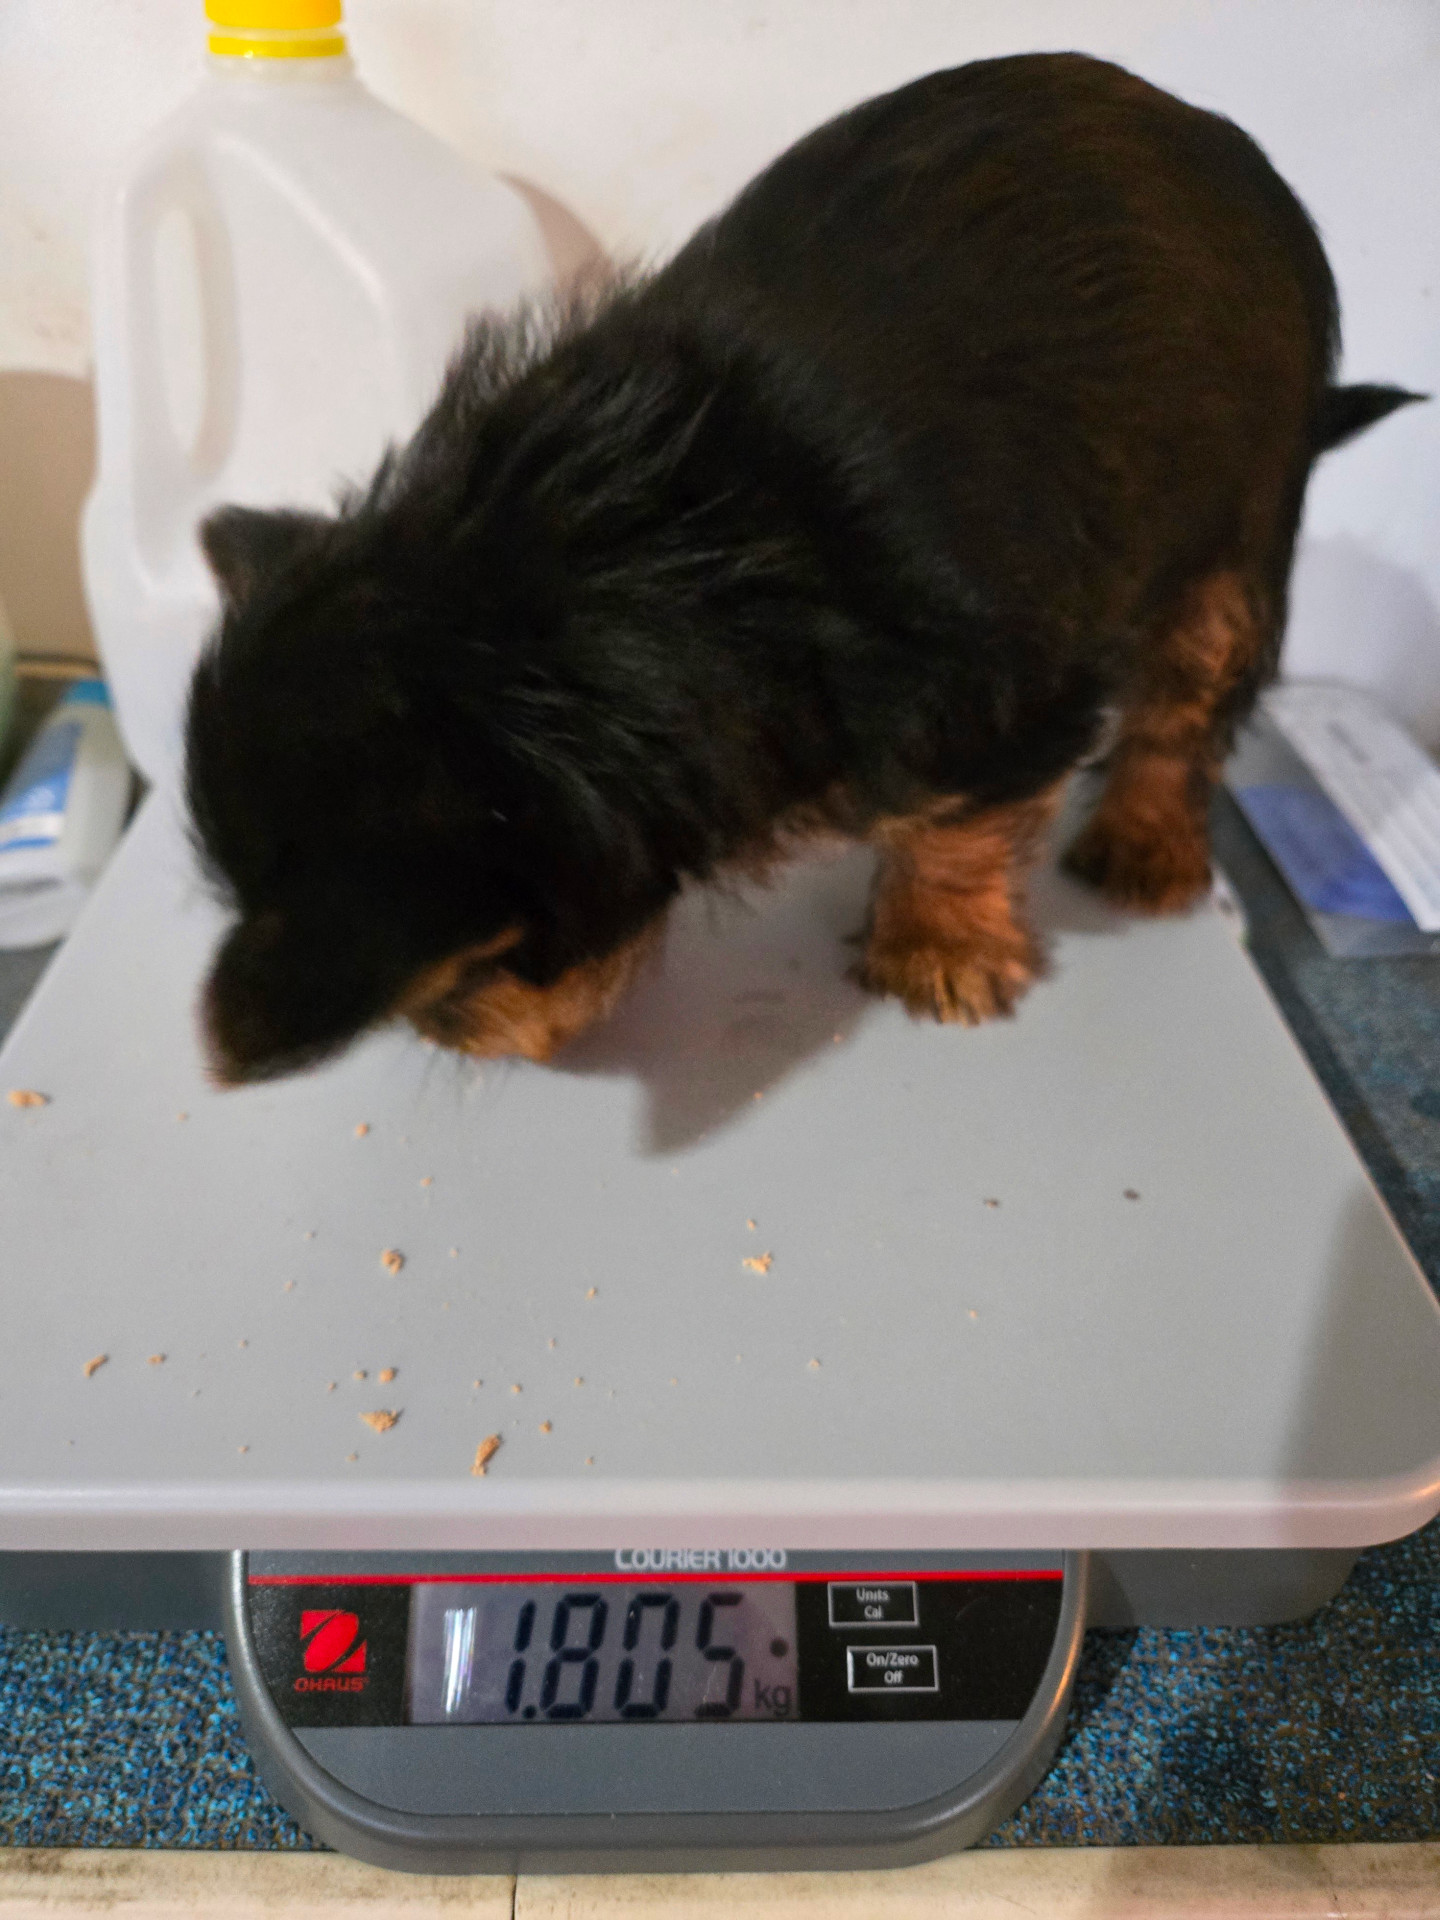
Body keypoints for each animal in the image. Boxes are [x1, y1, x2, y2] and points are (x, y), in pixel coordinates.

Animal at [185, 51, 1421, 1085]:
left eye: (474, 969)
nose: (448, 1032)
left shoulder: (1007, 692)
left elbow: (960, 812)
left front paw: (938, 946)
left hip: (1239, 525)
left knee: (1187, 701)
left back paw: (1147, 844)